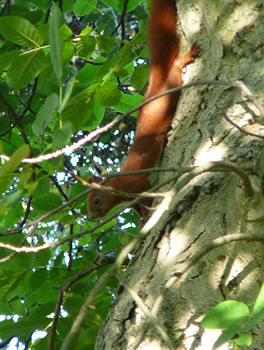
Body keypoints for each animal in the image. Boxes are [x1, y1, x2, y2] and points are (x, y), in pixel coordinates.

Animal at [88, 0, 198, 219]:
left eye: (96, 200)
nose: (92, 217)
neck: (118, 185)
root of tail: (155, 80)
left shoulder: (137, 185)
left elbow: (146, 199)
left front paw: (148, 218)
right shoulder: (133, 200)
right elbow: (139, 209)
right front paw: (142, 221)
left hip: (172, 83)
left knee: (176, 67)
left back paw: (187, 57)